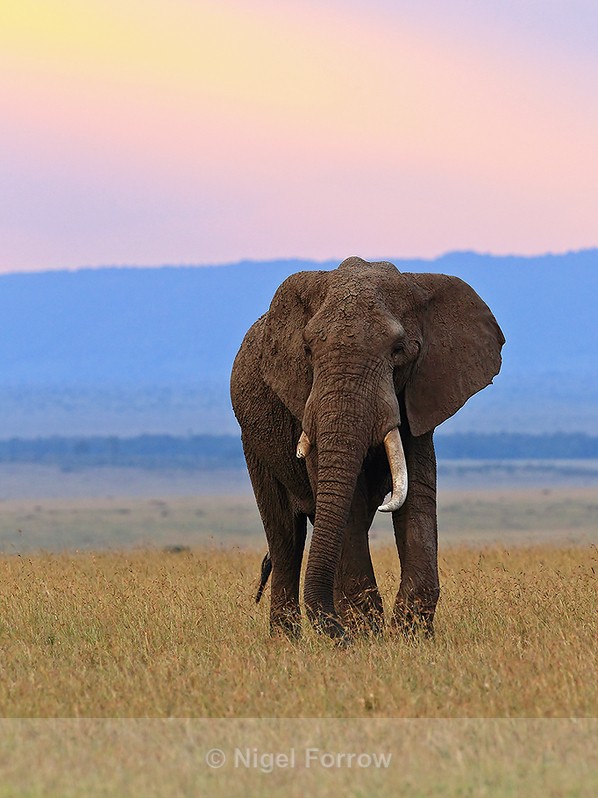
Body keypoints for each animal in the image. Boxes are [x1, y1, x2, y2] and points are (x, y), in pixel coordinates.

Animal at [230, 256, 504, 640]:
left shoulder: (419, 397)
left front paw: (409, 636)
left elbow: (417, 494)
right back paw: (289, 639)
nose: (337, 633)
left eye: (398, 350)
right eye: (307, 350)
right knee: (286, 538)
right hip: (253, 441)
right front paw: (366, 637)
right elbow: (350, 505)